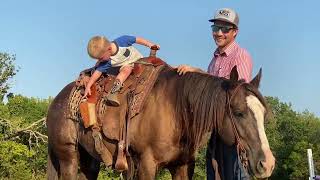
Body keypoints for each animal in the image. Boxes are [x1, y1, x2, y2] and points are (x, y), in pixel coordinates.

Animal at [47, 65, 276, 179]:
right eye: (238, 113)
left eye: (264, 115)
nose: (267, 164)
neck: (176, 109)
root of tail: (56, 100)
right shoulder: (147, 165)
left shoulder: (182, 166)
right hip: (68, 157)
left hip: (89, 161)